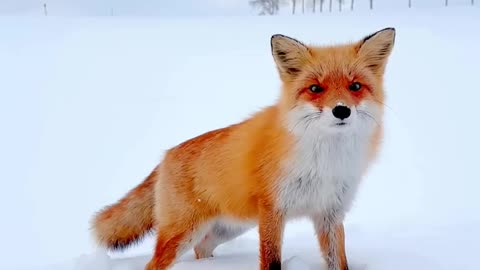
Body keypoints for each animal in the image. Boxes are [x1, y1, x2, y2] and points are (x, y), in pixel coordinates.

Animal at [90, 28, 394, 270]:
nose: (341, 110)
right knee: (154, 264)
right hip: (184, 232)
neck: (325, 160)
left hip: (228, 229)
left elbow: (338, 262)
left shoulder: (329, 213)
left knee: (202, 248)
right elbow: (271, 261)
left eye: (355, 86)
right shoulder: (273, 211)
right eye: (315, 89)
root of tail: (166, 156)